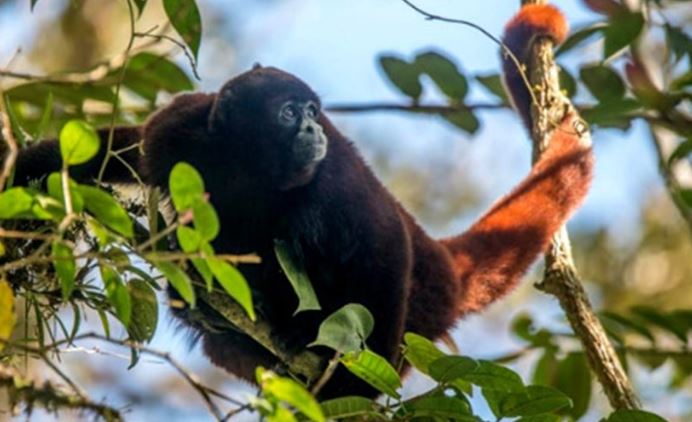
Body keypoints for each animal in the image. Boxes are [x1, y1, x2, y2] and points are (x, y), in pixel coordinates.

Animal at [5, 4, 588, 398]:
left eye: (311, 110)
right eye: (289, 112)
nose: (312, 126)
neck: (250, 167)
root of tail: (442, 264)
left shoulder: (334, 179)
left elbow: (382, 246)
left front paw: (354, 391)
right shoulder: (180, 128)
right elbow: (119, 153)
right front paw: (26, 176)